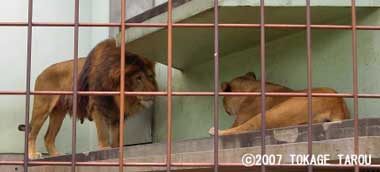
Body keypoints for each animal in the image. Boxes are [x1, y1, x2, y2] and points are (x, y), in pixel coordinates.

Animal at [26, 38, 157, 159]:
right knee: (31, 133)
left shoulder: (116, 113)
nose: (153, 94)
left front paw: (115, 149)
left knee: (48, 137)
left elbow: (116, 135)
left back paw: (56, 155)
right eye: (138, 78)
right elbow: (103, 132)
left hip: (58, 114)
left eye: (150, 76)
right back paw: (32, 155)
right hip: (42, 109)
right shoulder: (97, 106)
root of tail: (40, 74)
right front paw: (105, 148)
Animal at [209, 72, 348, 135]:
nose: (225, 109)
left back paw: (215, 131)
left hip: (271, 114)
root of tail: (337, 106)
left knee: (246, 128)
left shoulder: (242, 117)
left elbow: (236, 126)